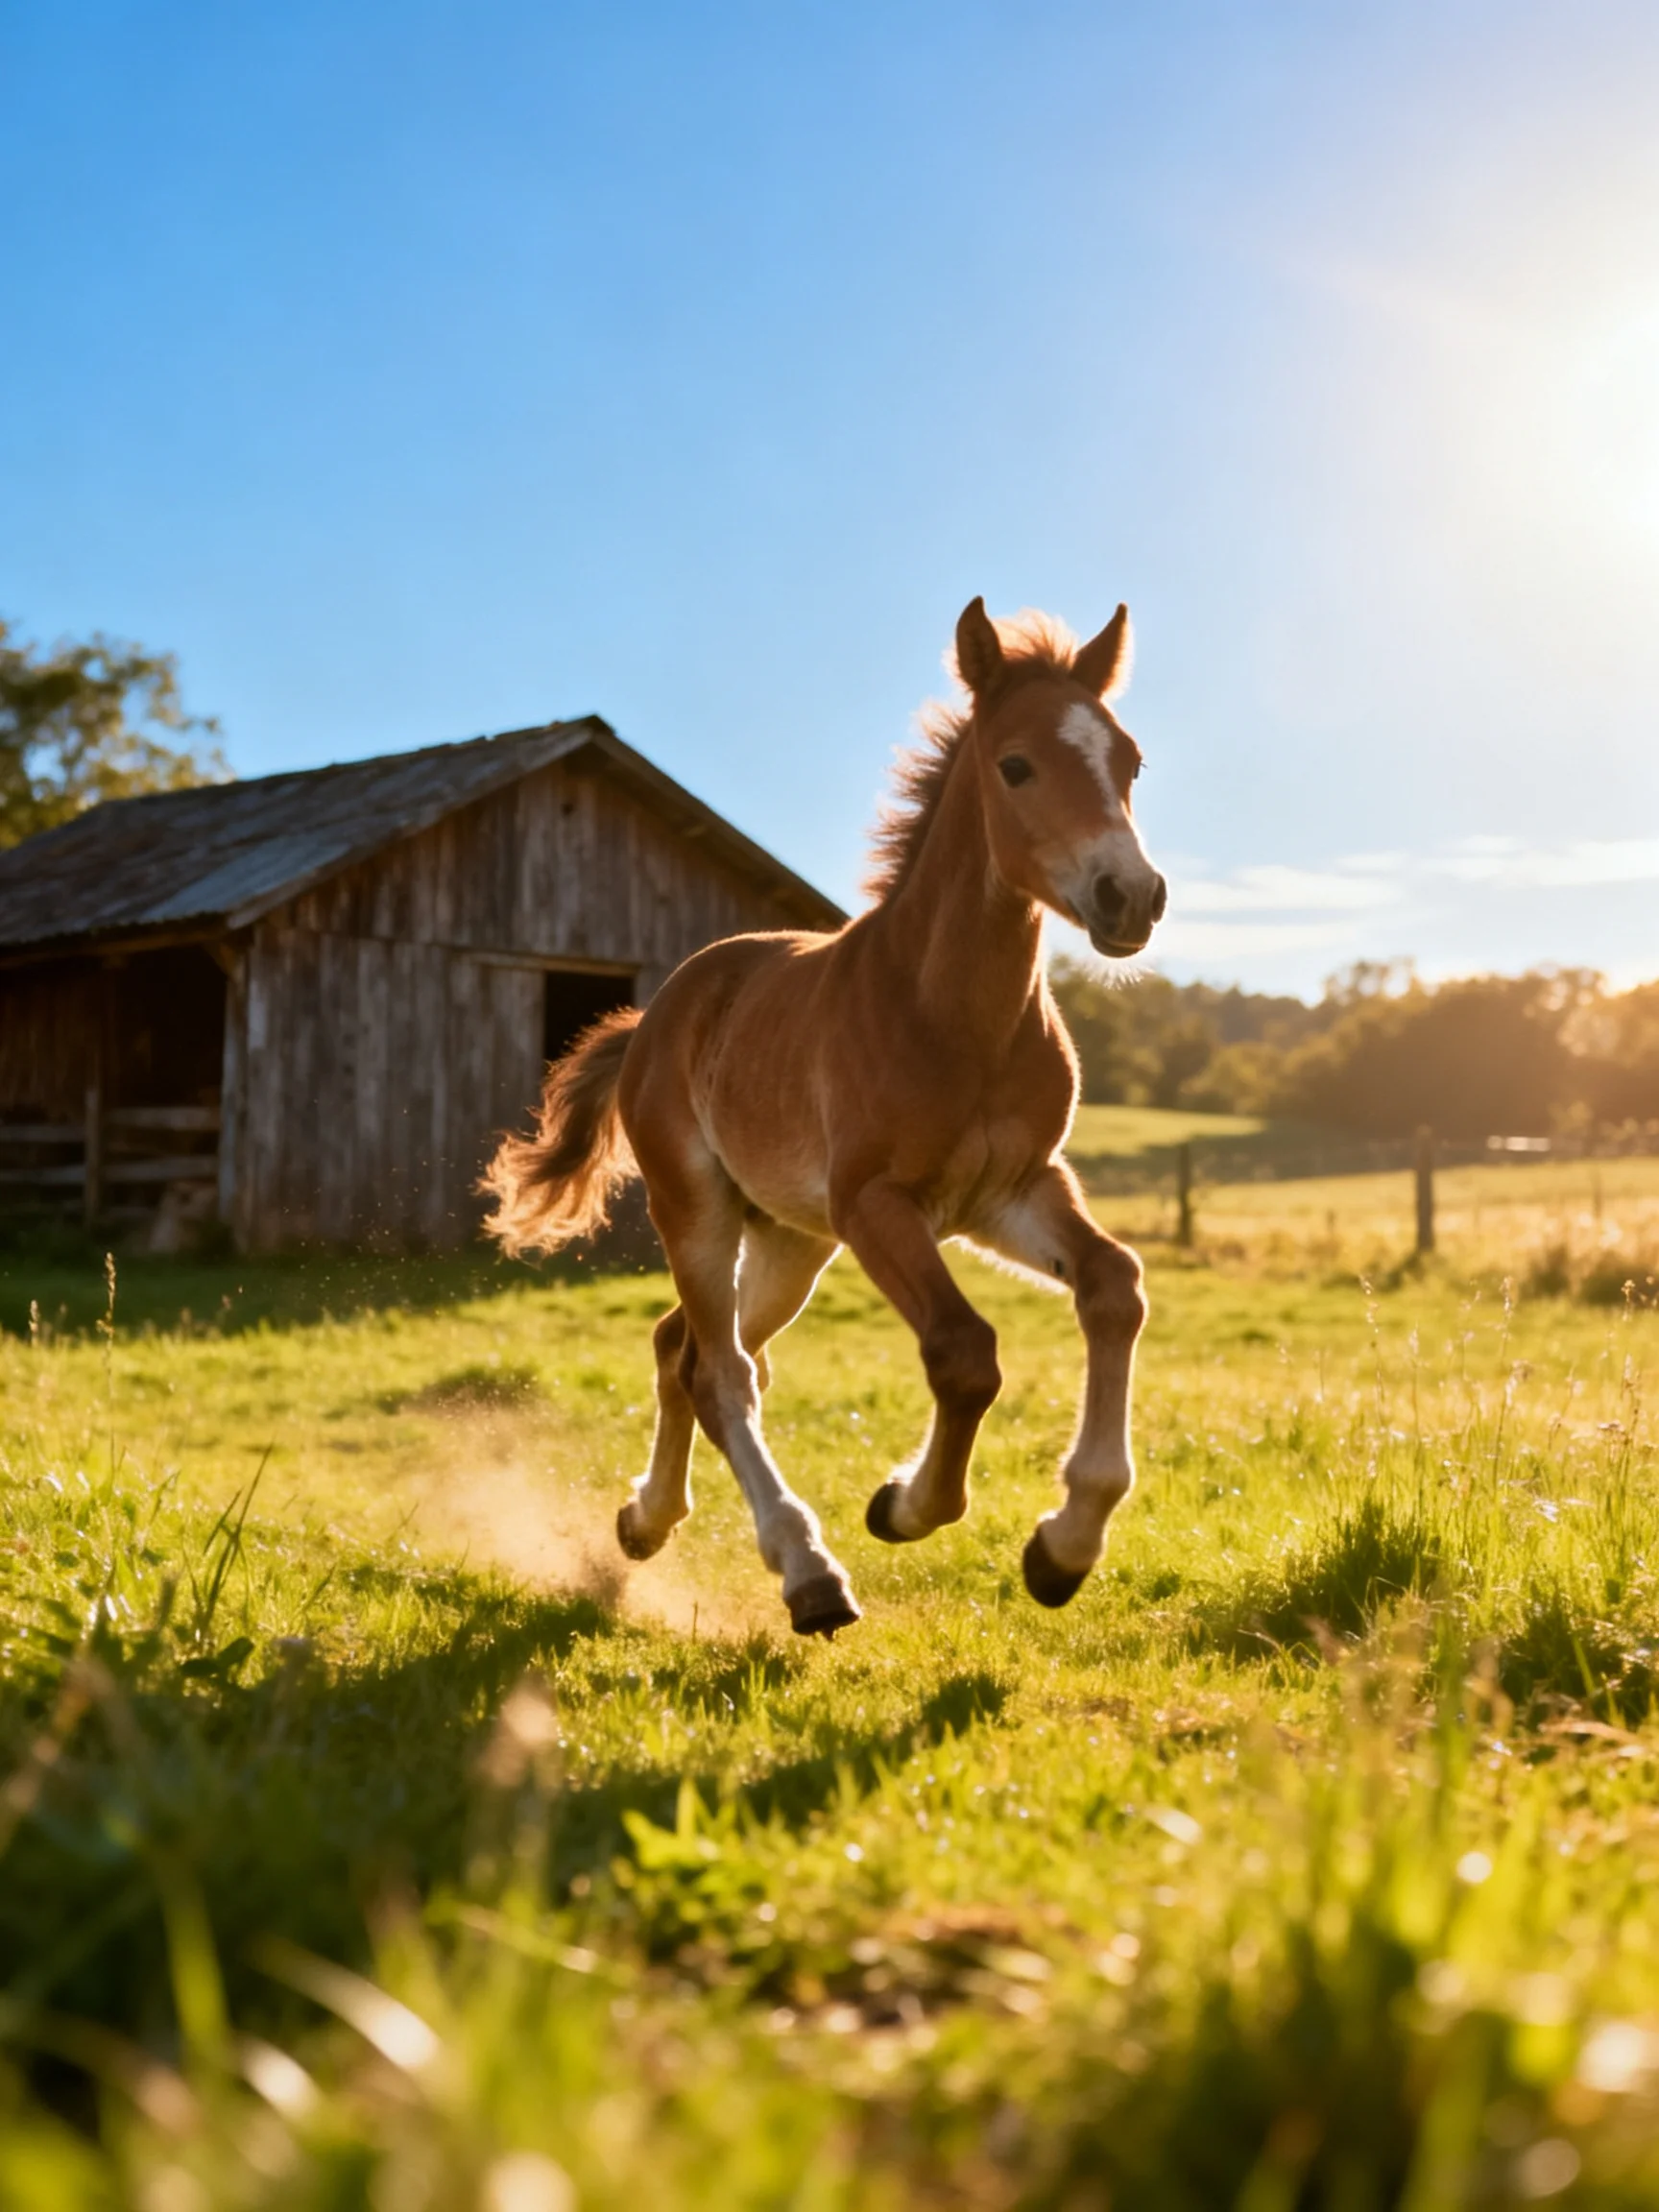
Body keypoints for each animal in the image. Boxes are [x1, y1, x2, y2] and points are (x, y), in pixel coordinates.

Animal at [482, 598, 1167, 1637]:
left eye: (1128, 761)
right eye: (1016, 765)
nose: (1130, 897)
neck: (951, 1013)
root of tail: (656, 1017)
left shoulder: (1011, 1193)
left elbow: (1113, 1287)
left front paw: (1063, 1547)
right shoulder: (876, 1202)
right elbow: (964, 1353)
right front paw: (906, 1508)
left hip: (792, 1241)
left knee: (687, 1348)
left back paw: (647, 1522)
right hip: (699, 1209)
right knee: (722, 1373)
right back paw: (808, 1573)